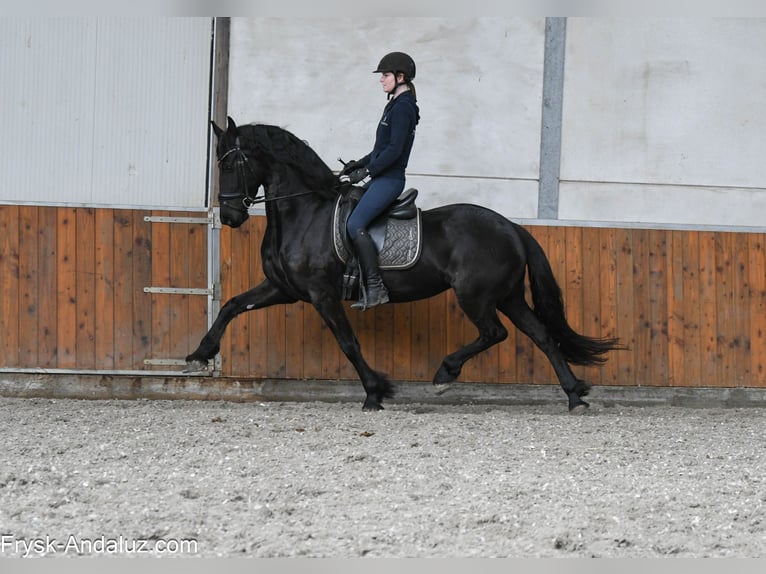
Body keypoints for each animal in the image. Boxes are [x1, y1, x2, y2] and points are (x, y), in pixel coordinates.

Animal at [185, 117, 624, 413]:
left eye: (229, 164)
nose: (230, 217)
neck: (303, 212)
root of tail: (512, 227)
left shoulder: (321, 295)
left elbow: (348, 342)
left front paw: (375, 392)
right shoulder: (284, 289)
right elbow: (232, 305)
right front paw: (201, 353)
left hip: (477, 296)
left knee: (494, 333)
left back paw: (445, 374)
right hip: (509, 296)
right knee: (542, 336)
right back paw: (574, 395)